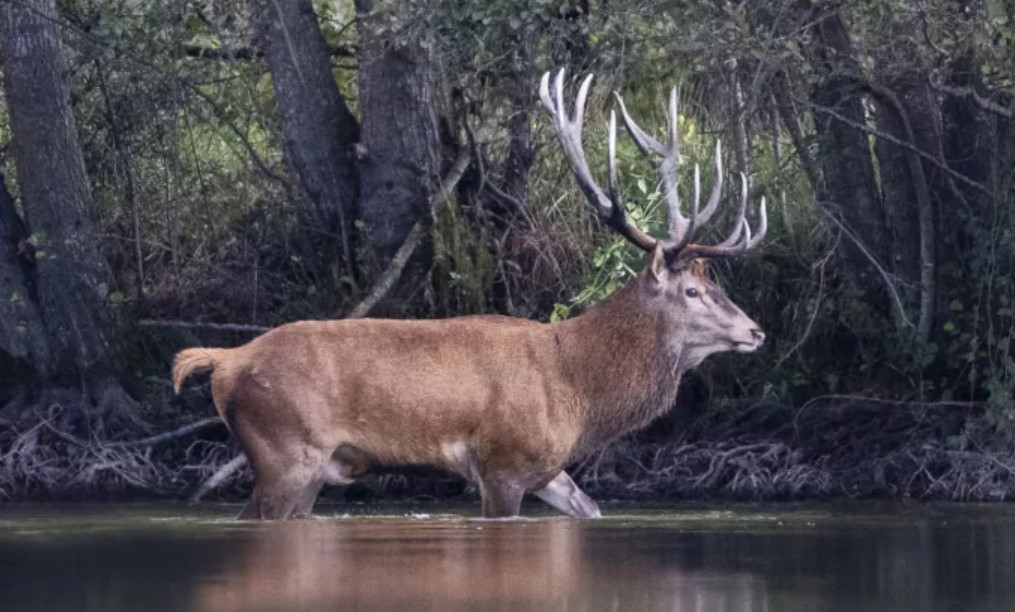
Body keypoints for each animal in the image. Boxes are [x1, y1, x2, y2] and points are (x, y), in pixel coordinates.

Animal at [172, 69, 767, 520]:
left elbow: (591, 509)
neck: (576, 389)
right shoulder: (502, 461)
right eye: (692, 290)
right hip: (285, 453)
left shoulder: (548, 469)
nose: (756, 330)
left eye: (714, 284)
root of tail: (224, 360)